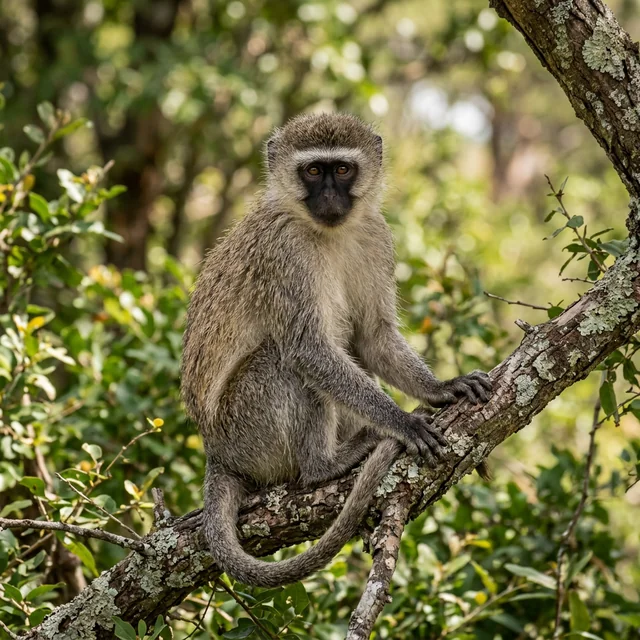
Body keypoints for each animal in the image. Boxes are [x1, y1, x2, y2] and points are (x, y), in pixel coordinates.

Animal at [181, 113, 492, 588]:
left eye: (342, 169)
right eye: (313, 171)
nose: (328, 196)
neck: (327, 232)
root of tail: (217, 454)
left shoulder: (376, 236)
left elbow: (372, 337)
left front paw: (442, 387)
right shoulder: (283, 252)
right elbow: (308, 349)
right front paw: (401, 422)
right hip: (247, 430)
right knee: (283, 361)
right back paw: (324, 465)